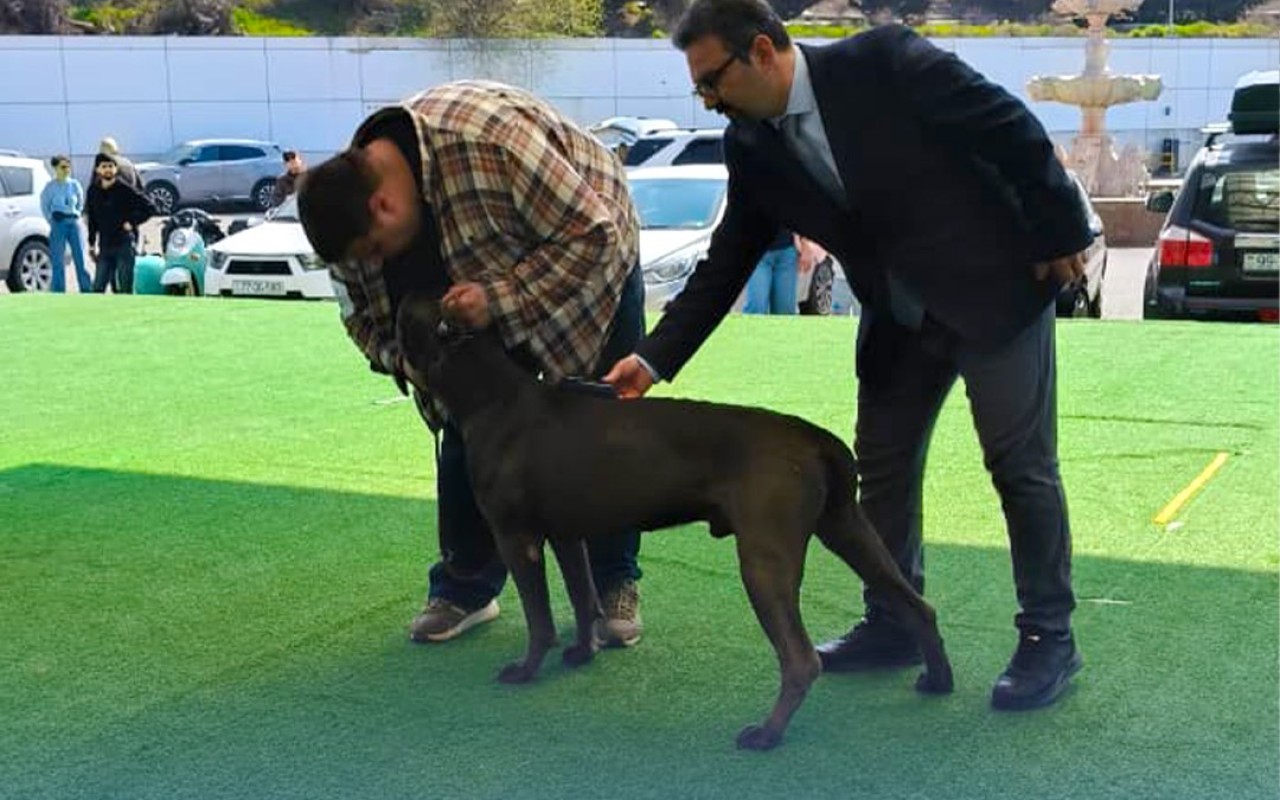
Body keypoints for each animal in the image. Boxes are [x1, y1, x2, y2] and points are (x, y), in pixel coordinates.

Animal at [394, 293, 953, 750]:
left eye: (411, 313)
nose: (397, 297)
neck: (490, 393)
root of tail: (814, 438)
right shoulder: (567, 533)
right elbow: (582, 596)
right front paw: (582, 653)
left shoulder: (517, 537)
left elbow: (540, 618)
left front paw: (526, 670)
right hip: (848, 529)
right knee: (918, 605)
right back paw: (938, 681)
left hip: (765, 557)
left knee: (800, 659)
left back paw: (766, 735)